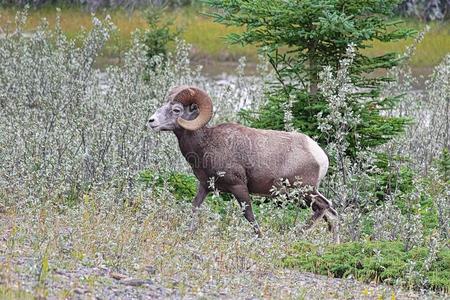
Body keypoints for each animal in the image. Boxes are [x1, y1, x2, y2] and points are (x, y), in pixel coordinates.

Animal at [149, 85, 340, 241]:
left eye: (176, 109)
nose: (151, 121)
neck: (207, 144)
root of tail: (320, 155)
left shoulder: (238, 187)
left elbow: (249, 215)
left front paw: (260, 239)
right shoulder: (205, 186)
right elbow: (194, 208)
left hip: (303, 191)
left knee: (325, 207)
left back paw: (296, 234)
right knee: (331, 213)